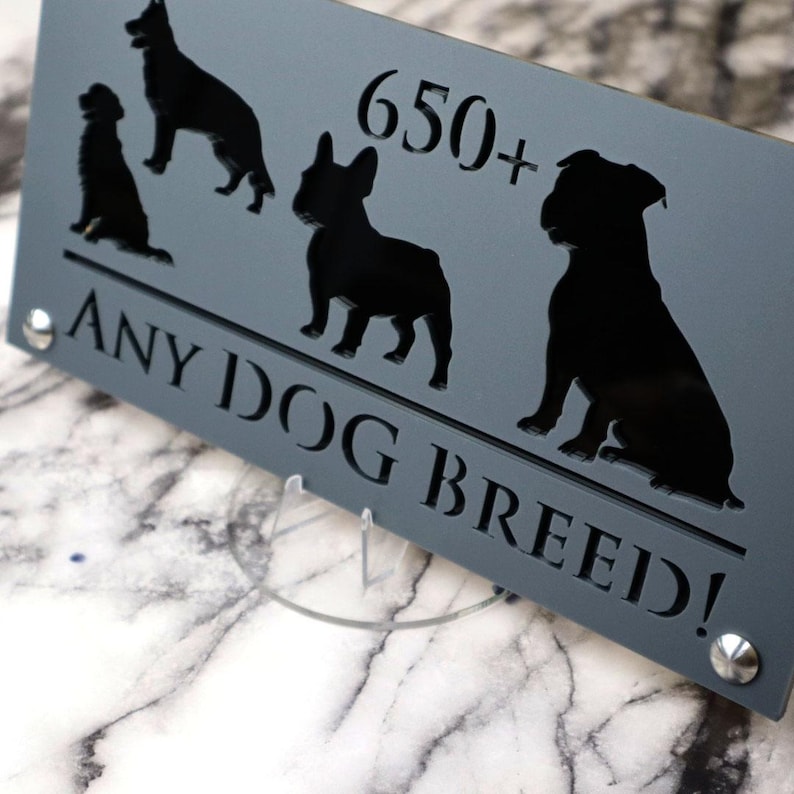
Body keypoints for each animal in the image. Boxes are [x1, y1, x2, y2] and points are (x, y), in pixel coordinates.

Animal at [71, 83, 172, 264]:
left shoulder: (92, 188)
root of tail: (144, 243)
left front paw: (79, 227)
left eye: (95, 92)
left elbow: (86, 212)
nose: (80, 96)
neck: (104, 128)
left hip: (114, 220)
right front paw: (78, 226)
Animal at [125, 0, 275, 213]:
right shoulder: (162, 118)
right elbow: (160, 146)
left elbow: (165, 148)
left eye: (145, 19)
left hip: (235, 149)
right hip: (222, 148)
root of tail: (255, 119)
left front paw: (159, 168)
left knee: (252, 173)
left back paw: (254, 206)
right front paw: (154, 164)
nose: (127, 25)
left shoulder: (169, 121)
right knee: (242, 172)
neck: (164, 54)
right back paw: (228, 191)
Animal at [293, 132, 453, 390]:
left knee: (444, 348)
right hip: (404, 314)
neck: (337, 236)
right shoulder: (319, 285)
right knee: (409, 333)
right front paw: (314, 331)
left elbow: (355, 327)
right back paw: (397, 356)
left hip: (440, 316)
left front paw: (345, 350)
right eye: (307, 177)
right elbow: (321, 310)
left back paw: (438, 381)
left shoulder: (364, 304)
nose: (306, 203)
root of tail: (432, 257)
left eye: (341, 192)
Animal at [518, 149, 742, 509]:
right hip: (632, 427)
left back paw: (674, 485)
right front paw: (539, 424)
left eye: (603, 195)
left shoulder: (619, 373)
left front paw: (580, 448)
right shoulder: (561, 347)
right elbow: (554, 392)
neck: (602, 266)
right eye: (564, 181)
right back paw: (622, 456)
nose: (555, 203)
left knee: (711, 491)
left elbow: (598, 411)